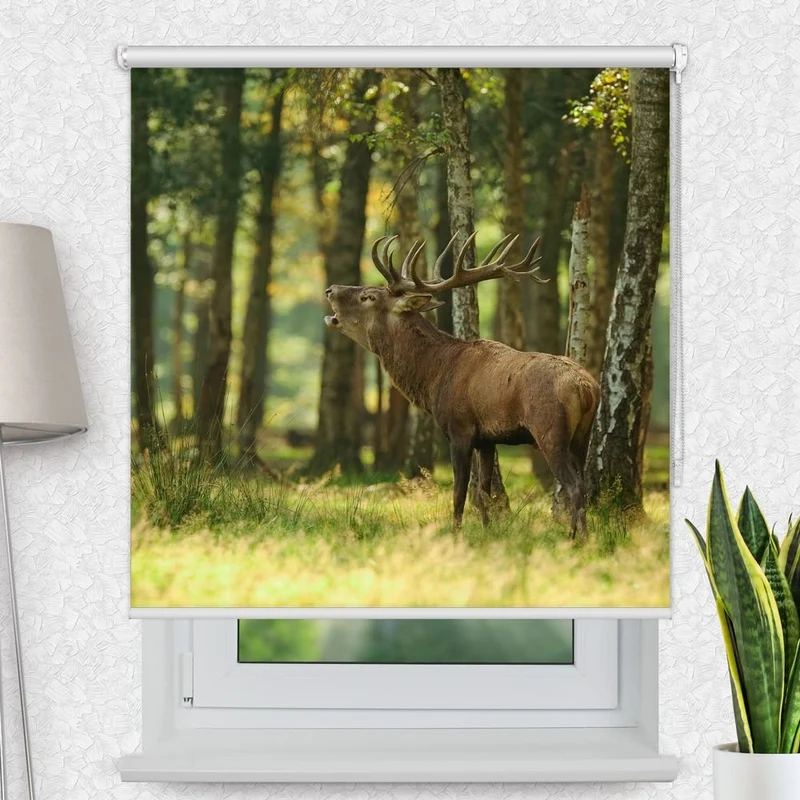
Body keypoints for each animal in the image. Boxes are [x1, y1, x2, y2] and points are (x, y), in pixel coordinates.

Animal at [323, 232, 600, 540]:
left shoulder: (459, 429)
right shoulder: (488, 439)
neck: (434, 378)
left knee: (573, 485)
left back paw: (577, 539)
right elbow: (482, 493)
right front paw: (488, 531)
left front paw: (455, 534)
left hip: (550, 430)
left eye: (368, 296)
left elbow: (459, 493)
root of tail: (586, 388)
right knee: (583, 482)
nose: (330, 289)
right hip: (582, 435)